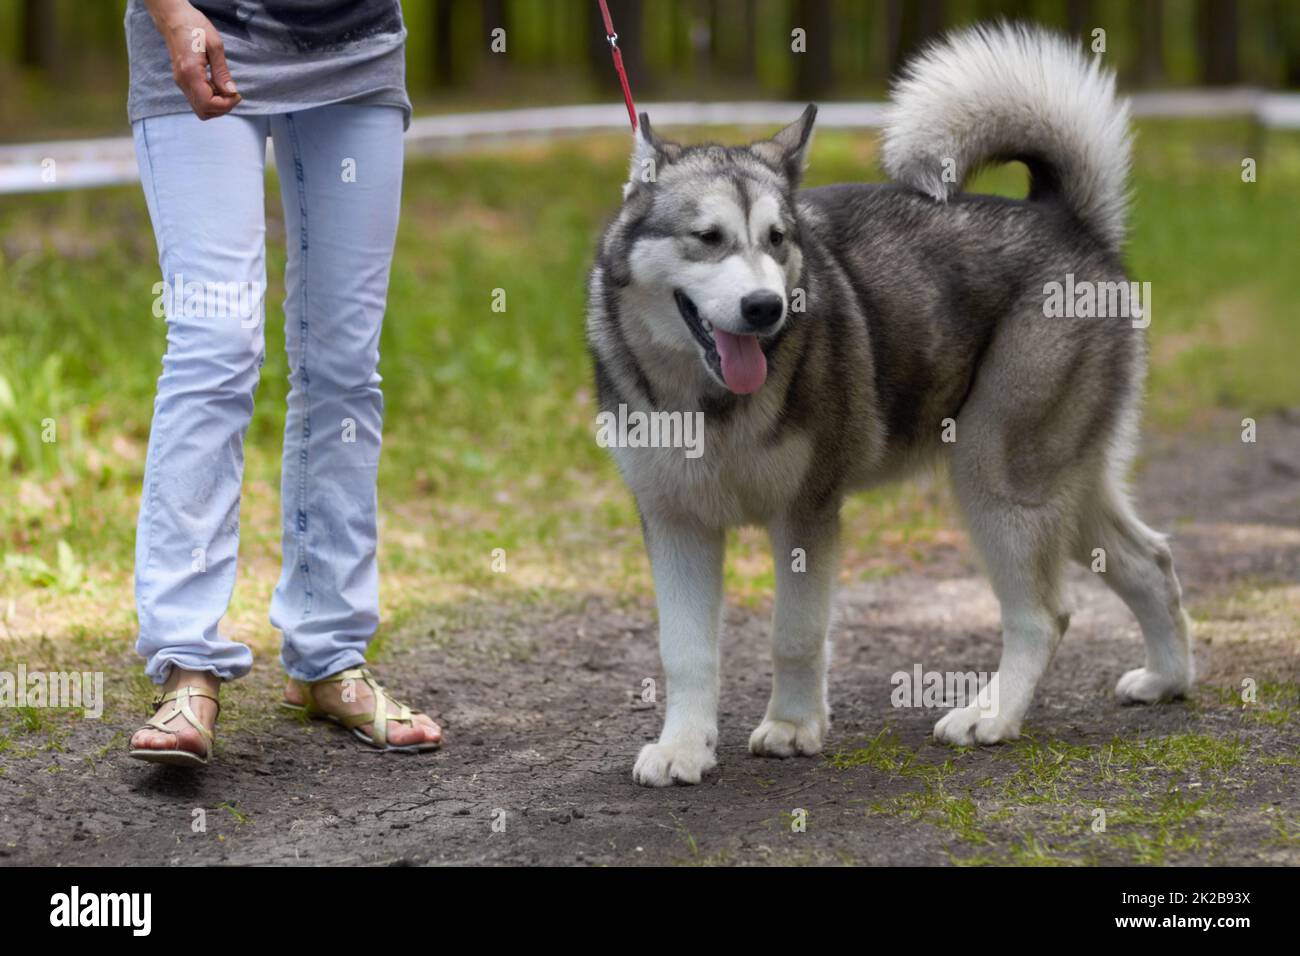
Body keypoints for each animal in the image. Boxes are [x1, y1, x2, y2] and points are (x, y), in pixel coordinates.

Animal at [585, 24, 1190, 785]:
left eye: (778, 239)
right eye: (708, 238)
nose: (765, 307)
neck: (709, 400)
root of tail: (1065, 219)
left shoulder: (807, 514)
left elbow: (795, 632)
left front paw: (793, 726)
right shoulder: (675, 521)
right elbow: (685, 651)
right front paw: (683, 748)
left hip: (999, 481)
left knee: (1045, 613)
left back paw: (991, 716)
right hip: (1059, 485)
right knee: (1151, 560)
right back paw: (1168, 679)